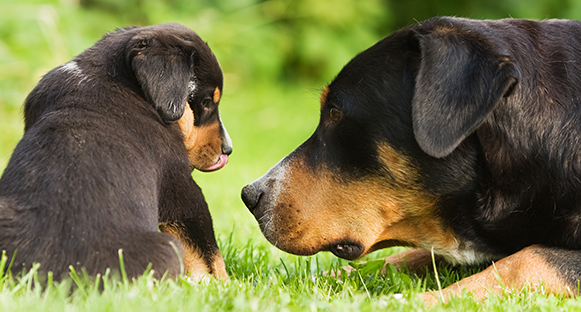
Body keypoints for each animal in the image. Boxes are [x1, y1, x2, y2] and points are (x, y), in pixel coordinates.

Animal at [0, 22, 231, 280]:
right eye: (207, 102)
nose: (228, 149)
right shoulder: (180, 187)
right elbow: (208, 251)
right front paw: (222, 284)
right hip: (165, 247)